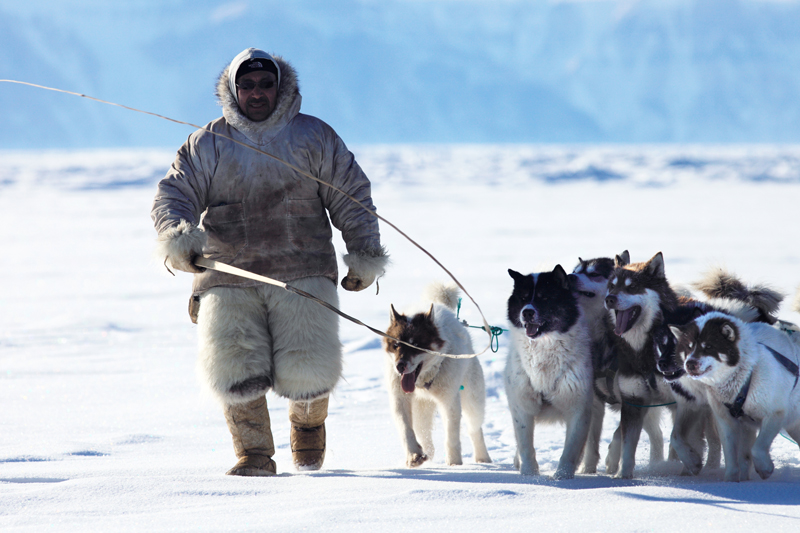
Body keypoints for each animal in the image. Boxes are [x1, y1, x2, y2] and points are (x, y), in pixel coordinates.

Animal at [382, 282, 490, 466]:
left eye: (416, 345)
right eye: (396, 345)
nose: (400, 366)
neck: (423, 379)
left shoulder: (450, 401)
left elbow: (451, 435)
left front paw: (454, 463)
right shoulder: (399, 399)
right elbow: (405, 429)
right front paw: (414, 455)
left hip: (473, 400)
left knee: (474, 428)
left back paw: (483, 458)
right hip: (421, 407)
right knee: (423, 431)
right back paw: (426, 453)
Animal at [506, 266, 592, 478]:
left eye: (545, 298)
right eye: (523, 298)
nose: (527, 312)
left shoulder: (579, 408)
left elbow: (571, 449)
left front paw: (562, 477)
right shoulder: (521, 407)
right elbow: (525, 445)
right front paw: (529, 475)